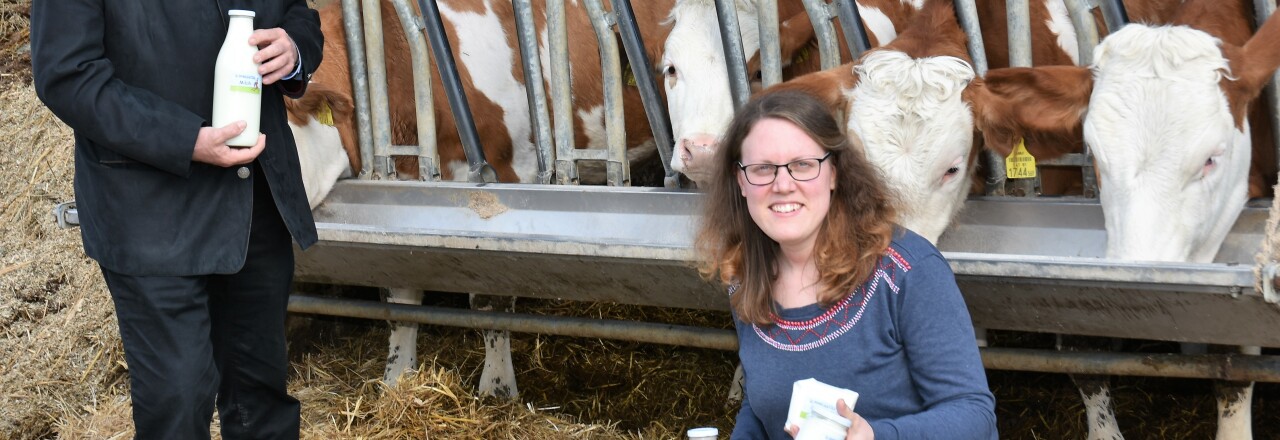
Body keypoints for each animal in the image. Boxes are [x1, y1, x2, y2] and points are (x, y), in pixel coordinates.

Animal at [284, 0, 680, 391]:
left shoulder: (509, 176)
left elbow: (491, 296)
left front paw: (497, 387)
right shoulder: (398, 194)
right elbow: (400, 298)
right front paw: (396, 380)